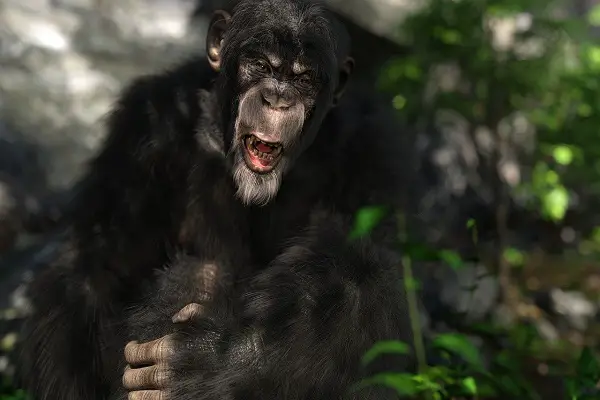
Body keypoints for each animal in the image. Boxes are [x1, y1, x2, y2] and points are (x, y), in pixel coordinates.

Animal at [17, 0, 412, 400]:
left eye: (303, 79)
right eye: (262, 66)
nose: (278, 99)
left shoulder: (369, 146)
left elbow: (359, 267)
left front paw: (221, 358)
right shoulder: (146, 129)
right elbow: (101, 268)